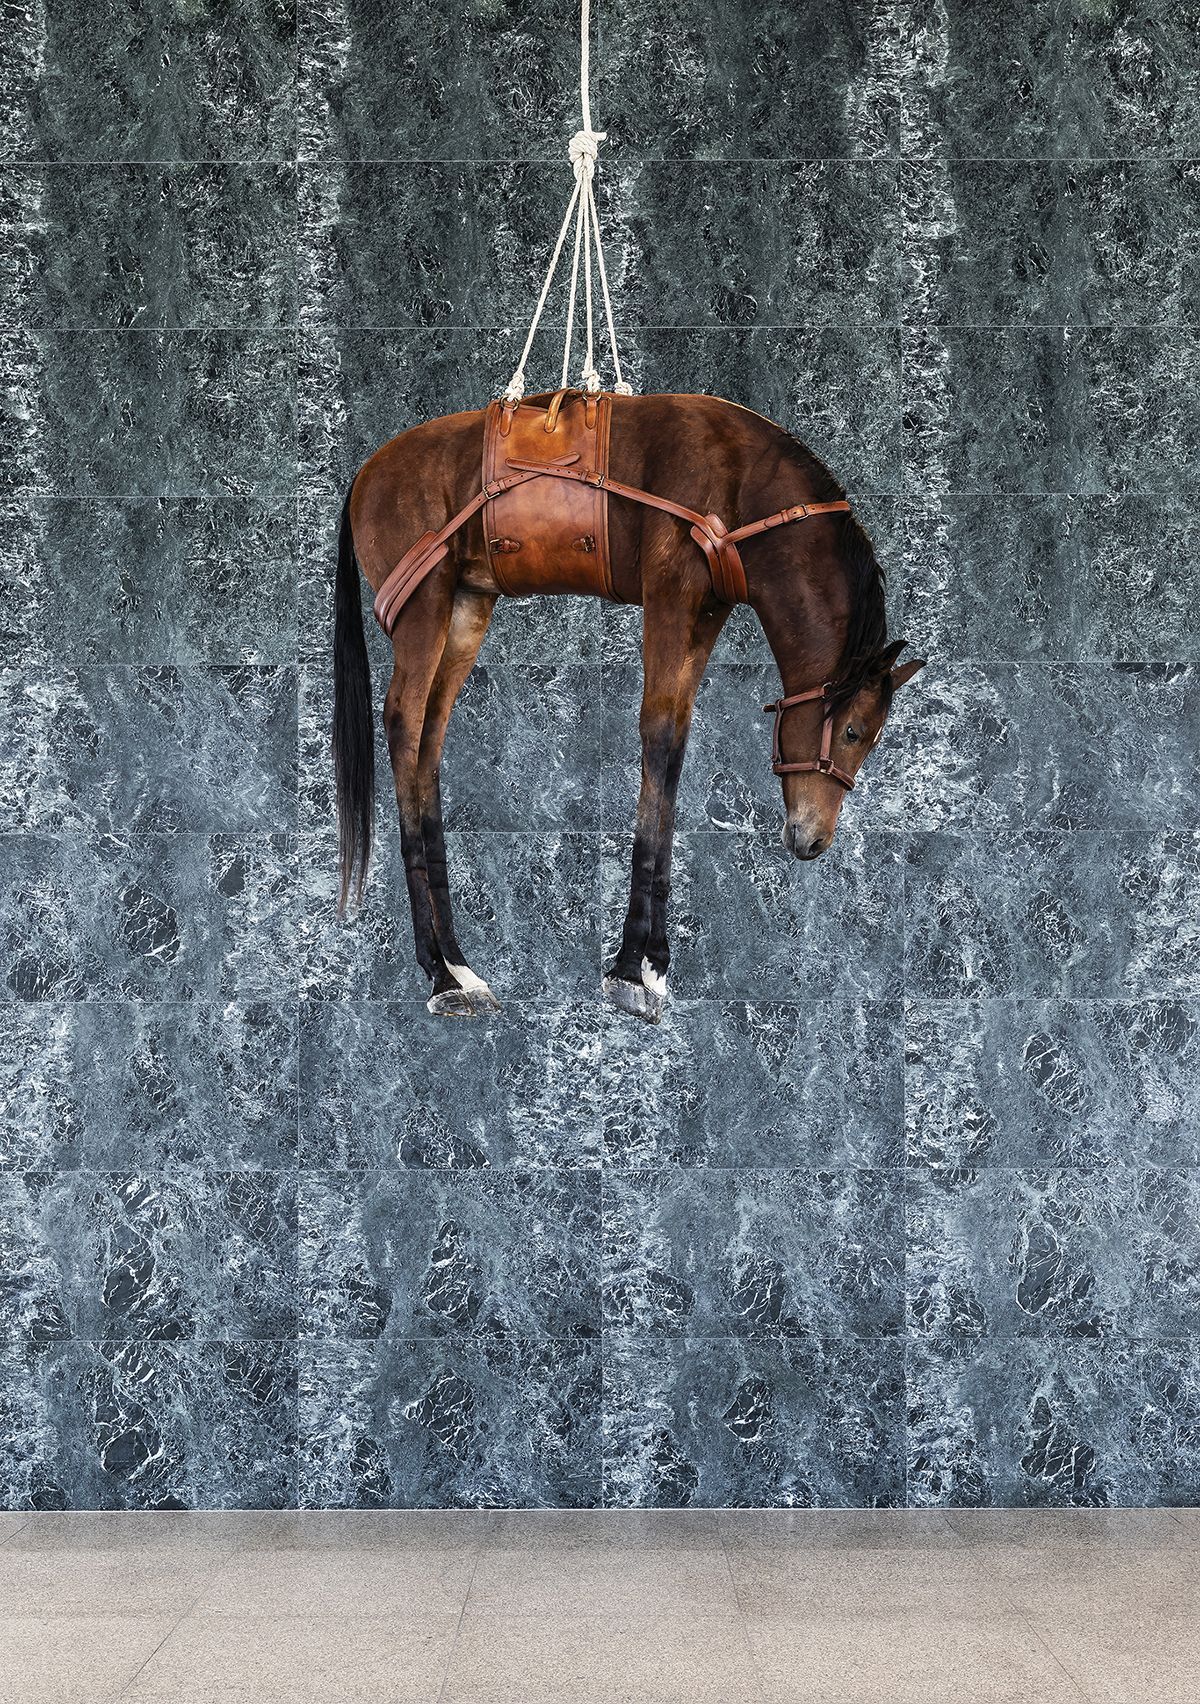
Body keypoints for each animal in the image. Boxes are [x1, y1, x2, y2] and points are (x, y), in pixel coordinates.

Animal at [332, 391, 924, 1022]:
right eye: (854, 732)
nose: (814, 840)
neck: (745, 485)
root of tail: (364, 473)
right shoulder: (670, 595)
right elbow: (659, 740)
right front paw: (630, 965)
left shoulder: (703, 614)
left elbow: (676, 746)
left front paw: (654, 960)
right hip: (424, 605)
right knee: (402, 722)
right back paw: (437, 969)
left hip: (465, 607)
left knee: (428, 739)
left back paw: (457, 963)